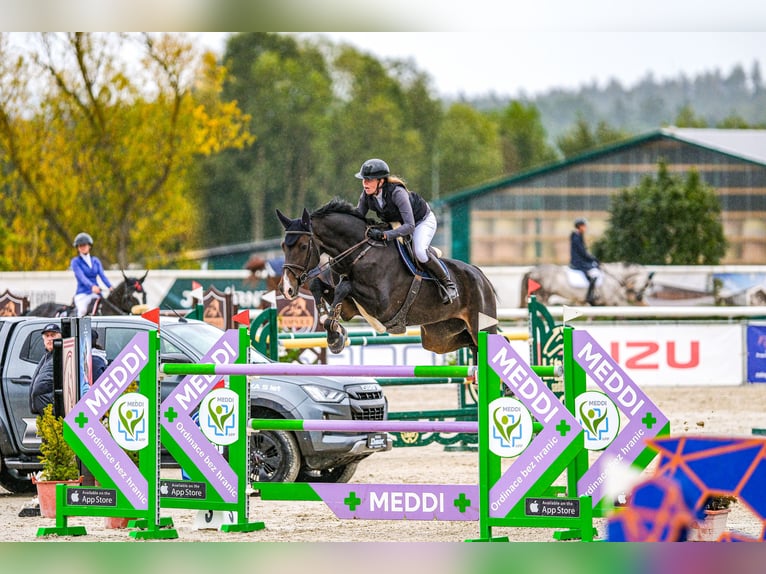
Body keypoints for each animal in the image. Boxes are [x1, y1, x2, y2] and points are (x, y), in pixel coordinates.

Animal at [276, 201, 498, 356]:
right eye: (283, 246)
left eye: (303, 246)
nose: (287, 288)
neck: (359, 253)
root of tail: (481, 276)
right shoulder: (351, 307)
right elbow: (318, 285)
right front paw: (331, 327)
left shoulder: (383, 306)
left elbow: (344, 287)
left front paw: (334, 334)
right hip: (440, 337)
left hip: (482, 325)